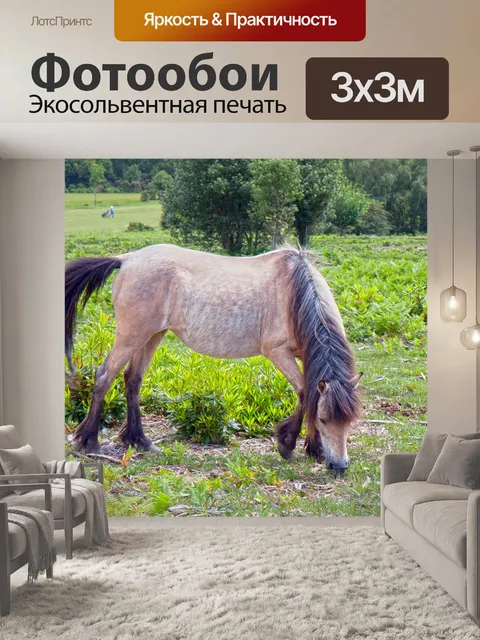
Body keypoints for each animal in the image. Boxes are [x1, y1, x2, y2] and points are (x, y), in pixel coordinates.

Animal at [65, 244, 363, 473]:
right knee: (105, 375)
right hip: (132, 335)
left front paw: (314, 449)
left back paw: (140, 441)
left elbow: (310, 394)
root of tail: (126, 259)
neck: (294, 294)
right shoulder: (278, 352)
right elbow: (304, 392)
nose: (340, 467)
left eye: (350, 421)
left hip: (152, 334)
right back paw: (89, 441)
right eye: (324, 420)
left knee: (132, 380)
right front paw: (288, 445)